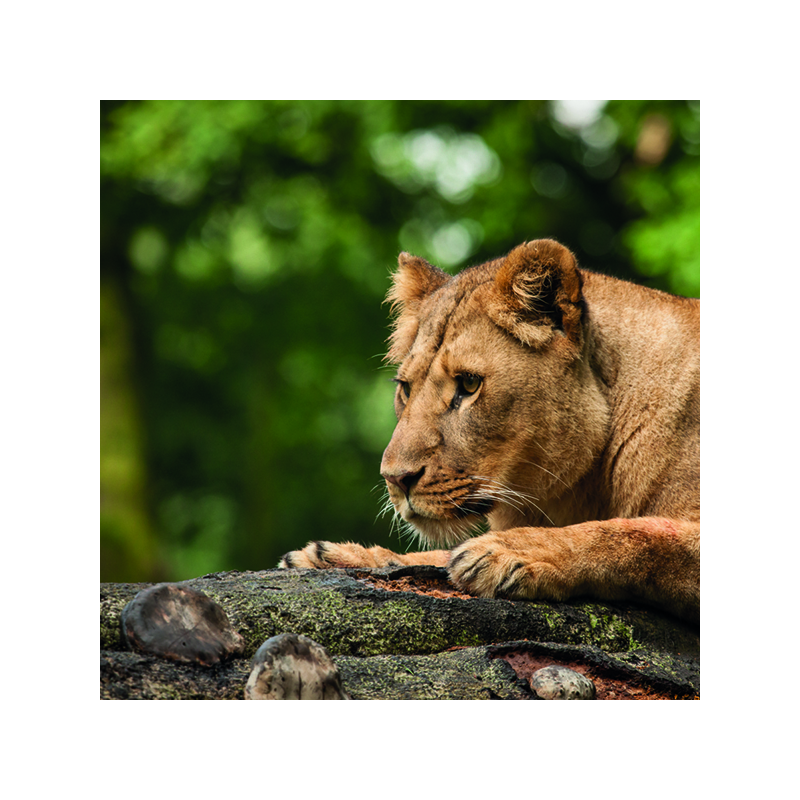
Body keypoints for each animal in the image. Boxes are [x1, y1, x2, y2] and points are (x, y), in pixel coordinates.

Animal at [280, 239, 699, 623]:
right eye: (405, 389)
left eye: (468, 384)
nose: (396, 479)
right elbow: (434, 555)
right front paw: (339, 557)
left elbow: (634, 535)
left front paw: (509, 552)